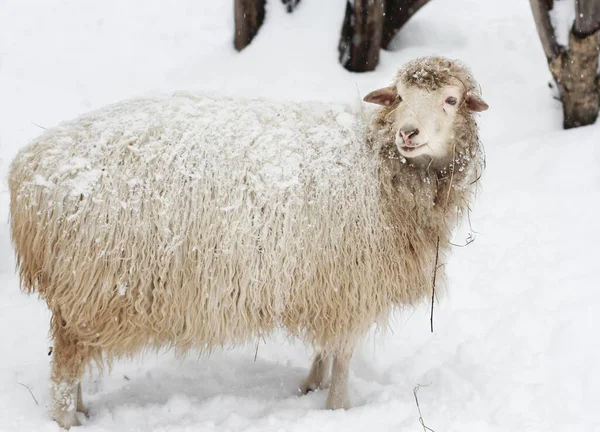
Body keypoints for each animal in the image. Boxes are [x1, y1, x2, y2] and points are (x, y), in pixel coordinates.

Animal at [9, 54, 488, 428]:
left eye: (450, 100)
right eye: (401, 96)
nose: (408, 134)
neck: (380, 163)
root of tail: (29, 166)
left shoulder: (328, 285)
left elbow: (326, 348)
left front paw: (310, 387)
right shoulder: (353, 285)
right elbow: (344, 355)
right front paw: (338, 408)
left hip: (77, 296)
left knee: (72, 360)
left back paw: (83, 412)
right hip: (92, 284)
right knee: (64, 372)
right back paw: (67, 421)